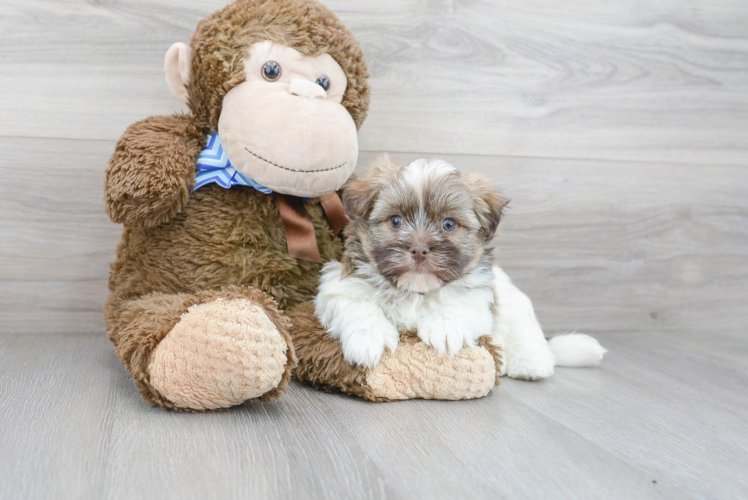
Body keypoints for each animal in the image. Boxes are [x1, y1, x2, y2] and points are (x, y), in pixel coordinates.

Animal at [312, 156, 604, 378]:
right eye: (395, 221)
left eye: (449, 224)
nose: (419, 249)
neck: (415, 292)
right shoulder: (340, 287)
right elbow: (356, 306)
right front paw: (368, 337)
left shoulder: (479, 298)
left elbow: (459, 307)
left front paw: (444, 328)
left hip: (519, 311)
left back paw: (527, 362)